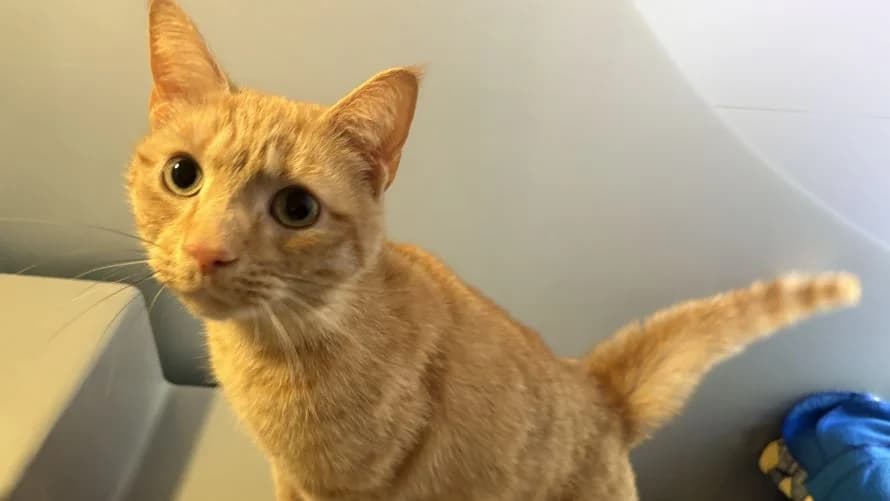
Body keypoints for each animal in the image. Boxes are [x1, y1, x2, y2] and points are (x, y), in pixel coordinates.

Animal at [128, 1, 862, 499]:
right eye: (183, 174)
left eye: (296, 209)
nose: (208, 250)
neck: (273, 347)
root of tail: (599, 391)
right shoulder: (288, 480)